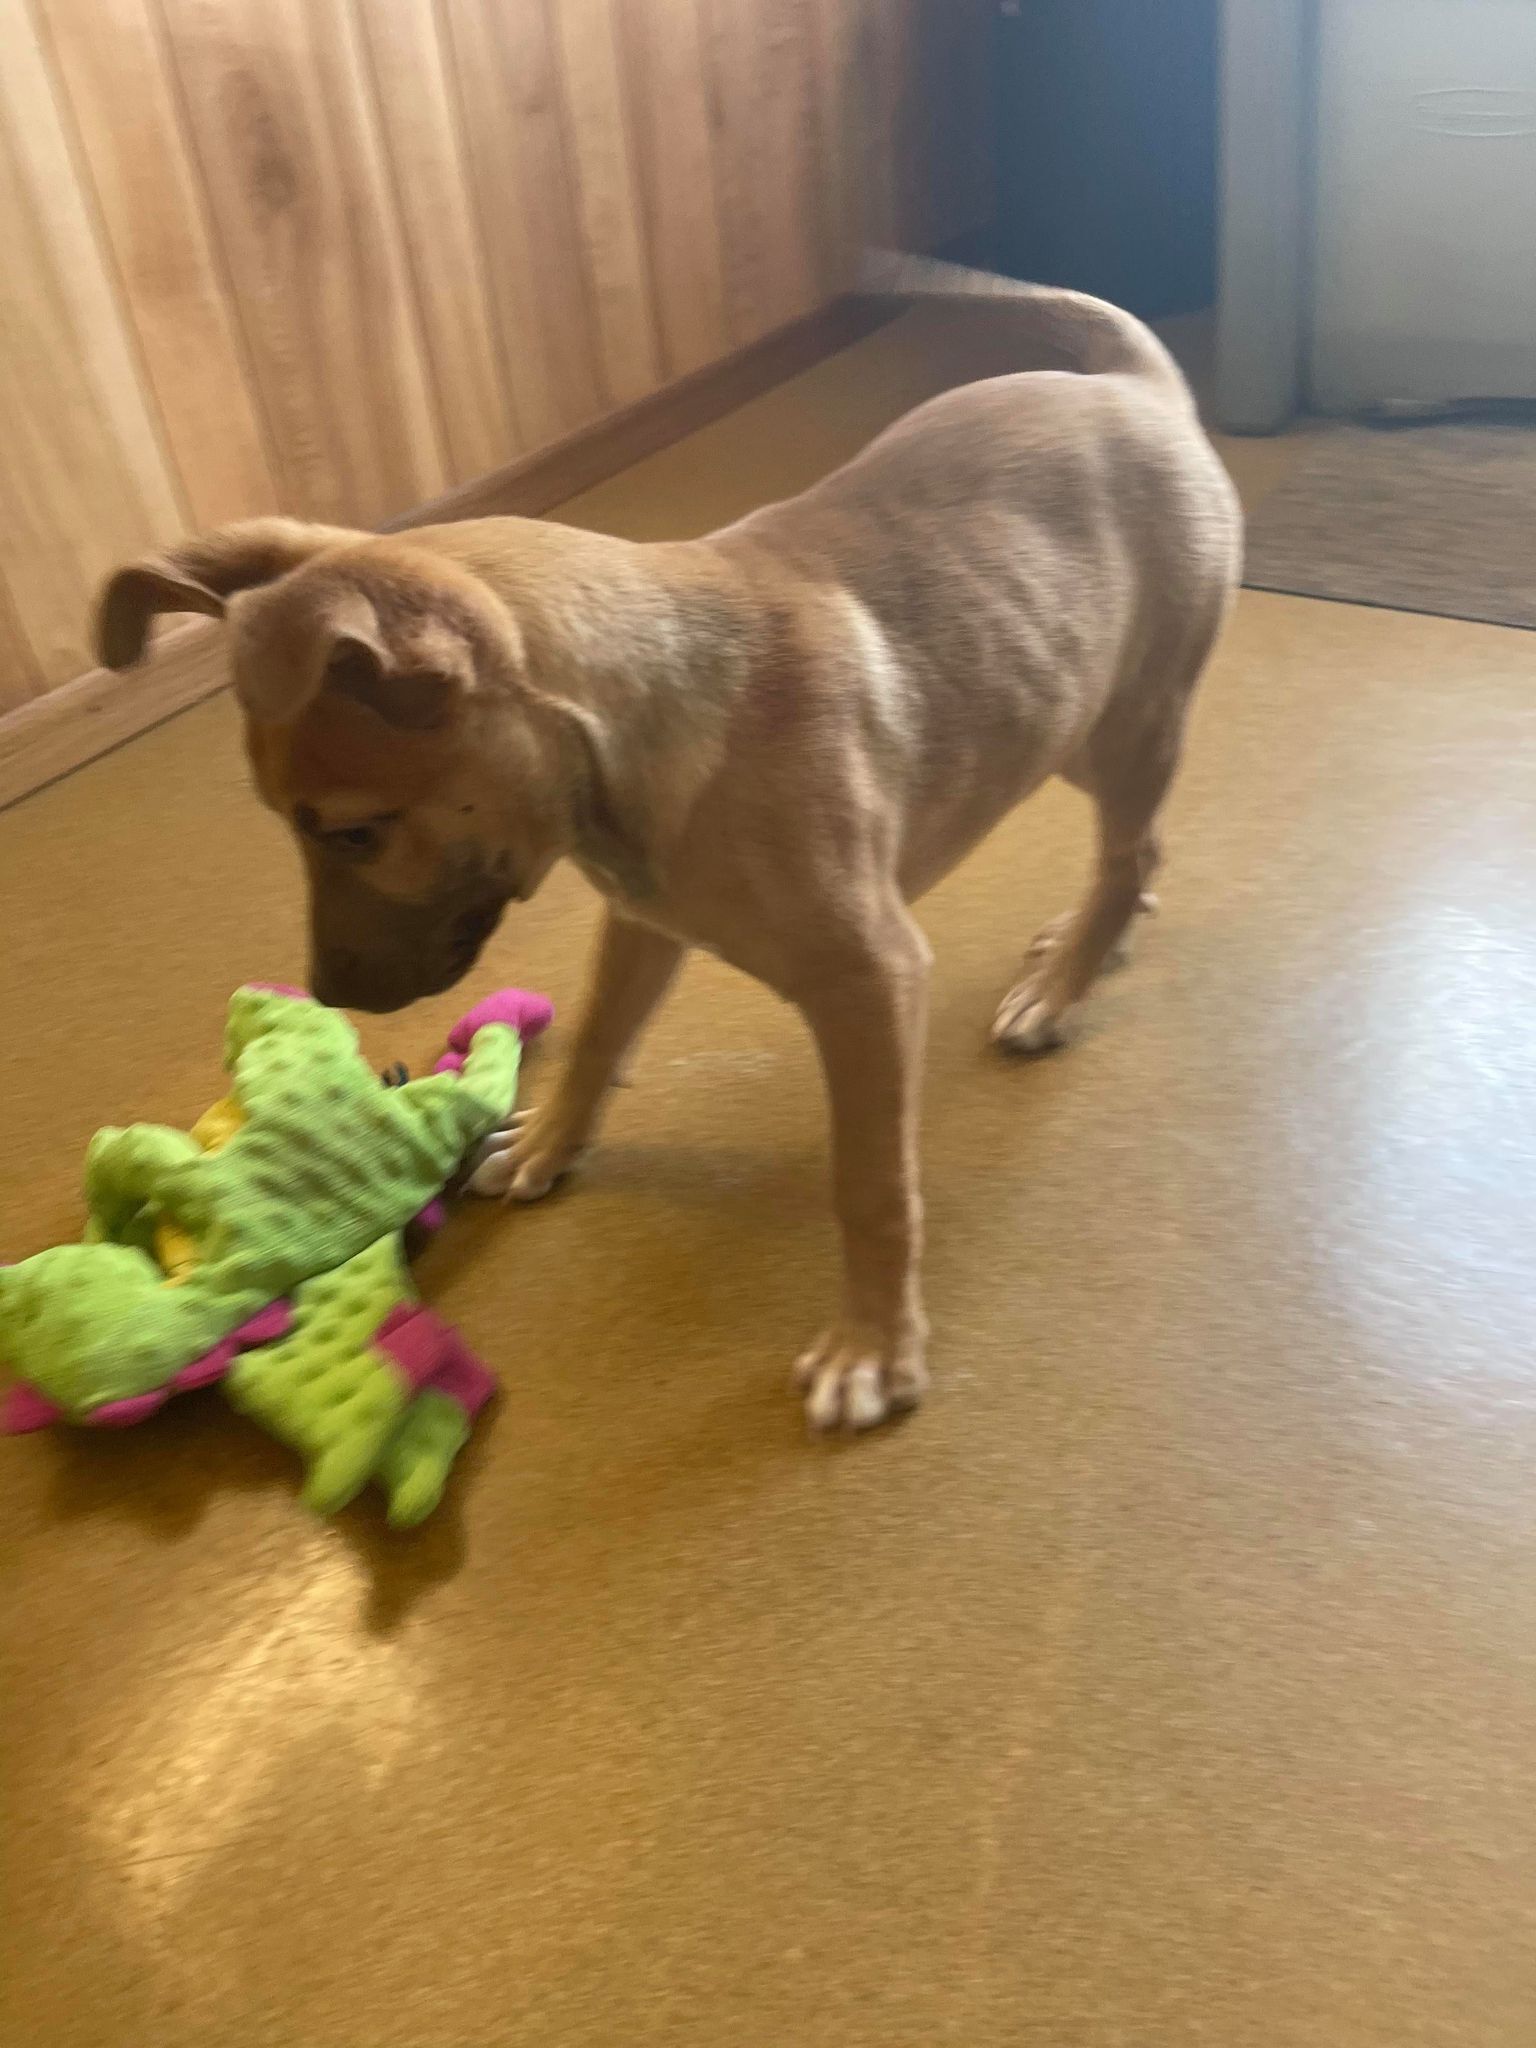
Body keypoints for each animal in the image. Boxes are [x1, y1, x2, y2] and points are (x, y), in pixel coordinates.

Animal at [99, 264, 1236, 1433]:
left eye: (356, 831)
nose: (327, 994)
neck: (641, 725)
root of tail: (1134, 386)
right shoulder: (641, 917)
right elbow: (602, 1032)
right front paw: (550, 1142)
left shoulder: (869, 981)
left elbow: (870, 1185)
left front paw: (875, 1343)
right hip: (1073, 719)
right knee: (1134, 854)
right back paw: (1085, 947)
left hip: (1125, 721)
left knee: (1134, 850)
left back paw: (1066, 978)